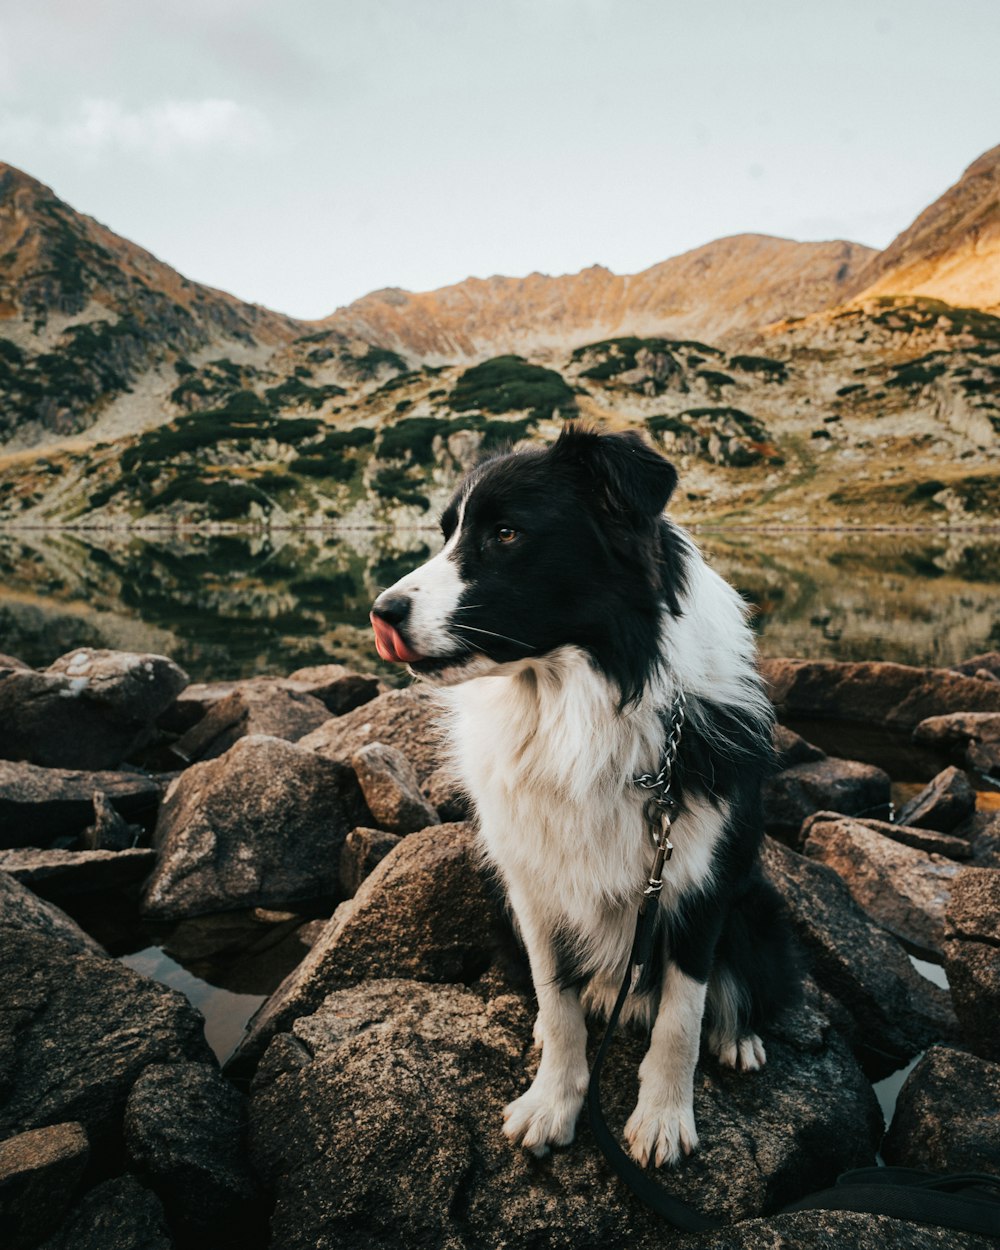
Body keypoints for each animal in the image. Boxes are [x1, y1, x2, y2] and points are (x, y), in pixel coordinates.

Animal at [370, 427, 800, 1170]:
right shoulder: (531, 882)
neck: (576, 703)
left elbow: (682, 1016)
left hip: (759, 907)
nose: (381, 612)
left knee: (738, 983)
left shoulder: (699, 882)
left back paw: (737, 1037)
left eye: (506, 533)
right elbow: (558, 997)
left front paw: (663, 1119)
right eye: (448, 531)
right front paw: (552, 1102)